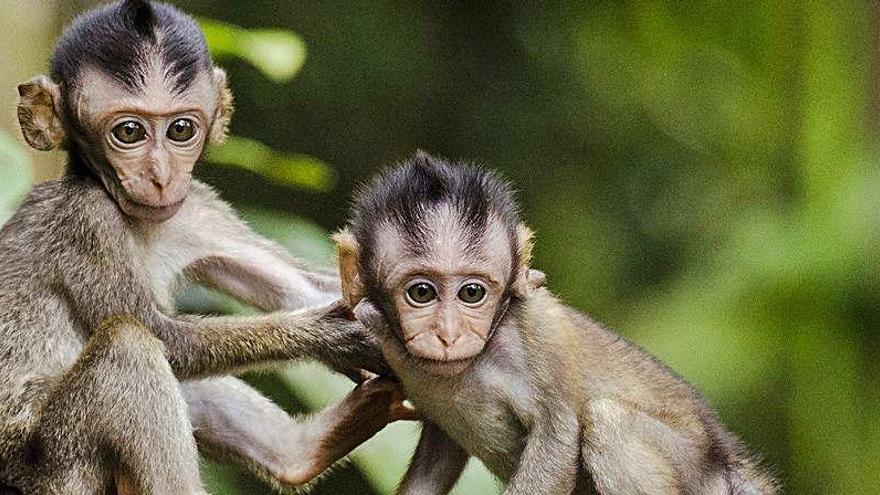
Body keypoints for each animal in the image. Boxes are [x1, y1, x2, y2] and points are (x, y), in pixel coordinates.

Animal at [0, 1, 410, 494]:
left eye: (180, 129)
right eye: (129, 133)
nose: (161, 176)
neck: (141, 224)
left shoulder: (198, 208)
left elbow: (303, 288)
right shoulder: (87, 222)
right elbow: (165, 336)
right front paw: (323, 335)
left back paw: (297, 454)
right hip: (55, 468)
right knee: (129, 345)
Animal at [332, 152, 776, 495]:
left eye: (472, 293)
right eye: (421, 293)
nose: (449, 335)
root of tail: (725, 459)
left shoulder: (538, 329)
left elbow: (557, 438)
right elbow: (438, 455)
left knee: (608, 422)